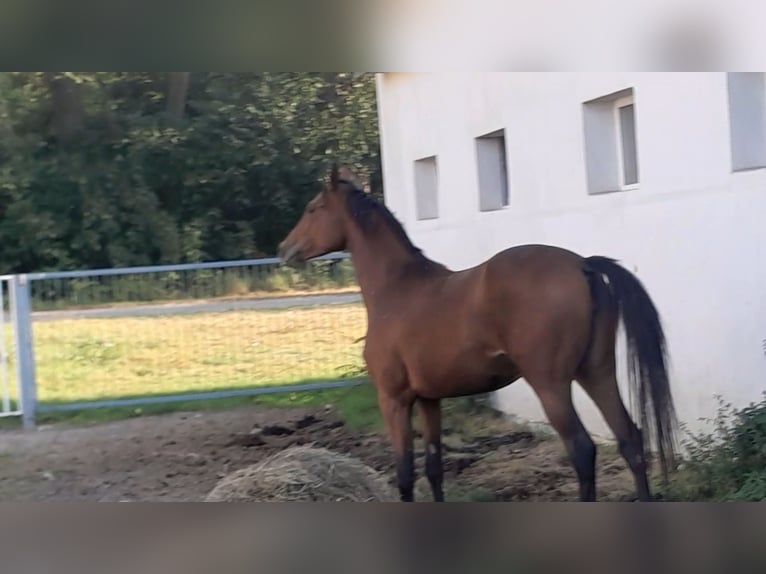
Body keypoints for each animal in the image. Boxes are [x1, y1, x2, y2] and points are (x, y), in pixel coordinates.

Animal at [280, 165, 680, 504]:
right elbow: (434, 469)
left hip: (551, 384)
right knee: (630, 439)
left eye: (314, 208)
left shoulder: (394, 400)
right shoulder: (429, 400)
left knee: (582, 450)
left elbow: (405, 475)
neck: (397, 288)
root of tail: (582, 265)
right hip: (597, 373)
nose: (285, 248)